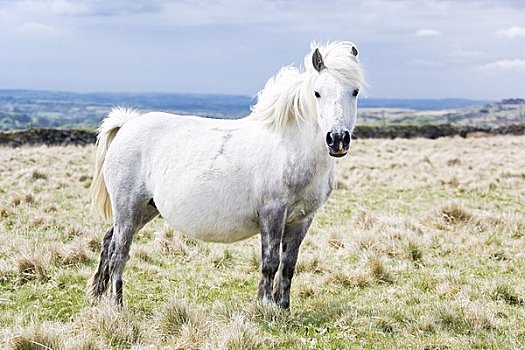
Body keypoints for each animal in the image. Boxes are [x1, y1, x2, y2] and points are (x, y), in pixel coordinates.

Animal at [87, 41, 364, 308]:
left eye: (355, 91)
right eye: (317, 93)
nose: (337, 139)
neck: (290, 147)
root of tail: (127, 126)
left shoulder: (301, 220)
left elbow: (288, 266)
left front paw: (284, 307)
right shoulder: (272, 214)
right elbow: (270, 262)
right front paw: (266, 307)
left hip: (146, 208)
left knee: (109, 242)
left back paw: (97, 297)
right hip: (128, 208)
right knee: (119, 252)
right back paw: (117, 304)